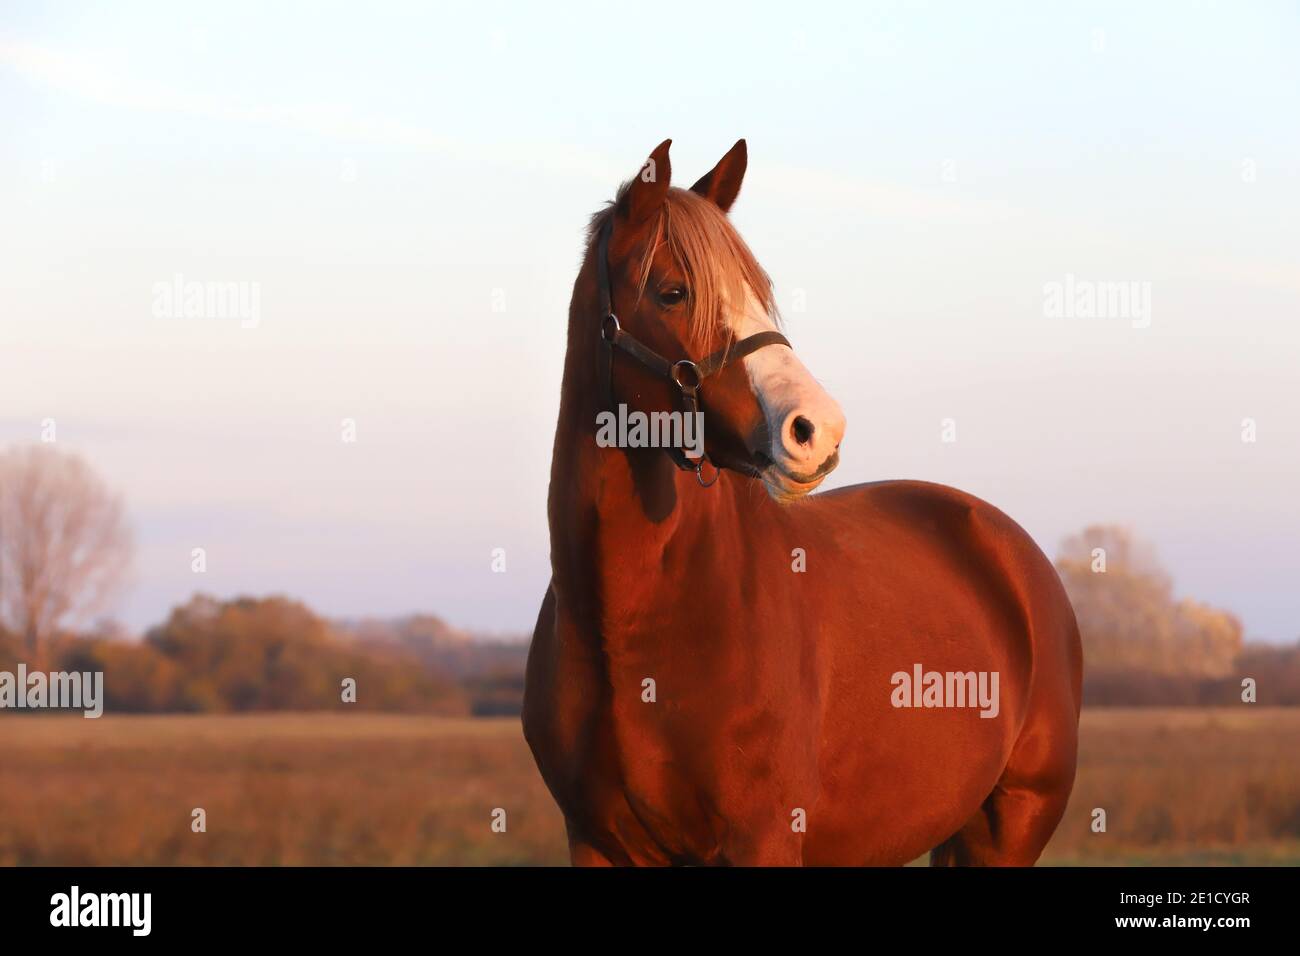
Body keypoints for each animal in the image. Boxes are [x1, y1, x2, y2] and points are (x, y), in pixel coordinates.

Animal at [522, 141, 1081, 868]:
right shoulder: (595, 842)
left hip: (1010, 822)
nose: (819, 428)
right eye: (673, 292)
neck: (633, 626)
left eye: (761, 295)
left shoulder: (763, 839)